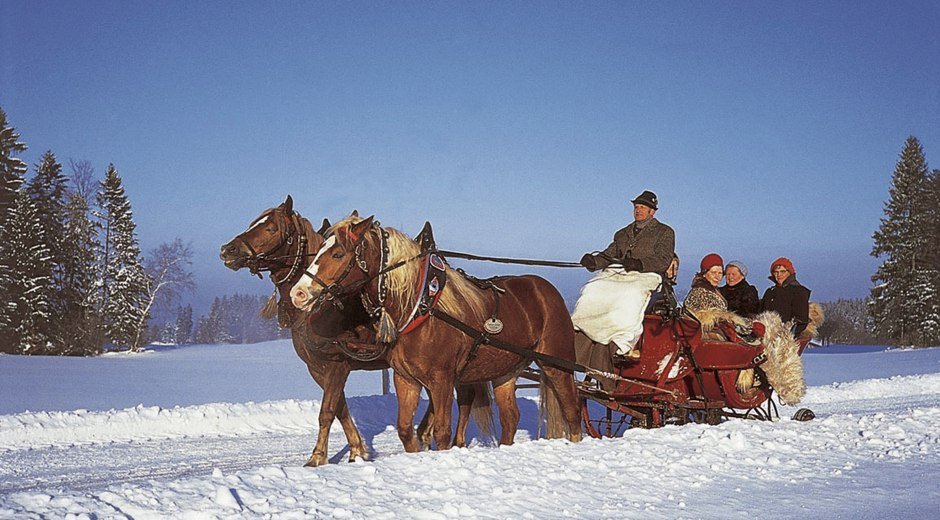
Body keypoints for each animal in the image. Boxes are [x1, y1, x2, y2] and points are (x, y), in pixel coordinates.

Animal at [221, 197, 492, 466]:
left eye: (270, 228)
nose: (227, 250)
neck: (322, 310)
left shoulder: (337, 363)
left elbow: (327, 411)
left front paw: (317, 457)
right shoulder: (318, 368)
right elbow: (340, 408)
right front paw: (356, 451)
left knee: (462, 395)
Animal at [290, 215, 584, 450]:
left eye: (338, 254)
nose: (298, 293)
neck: (420, 308)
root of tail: (546, 288)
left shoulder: (441, 380)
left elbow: (441, 431)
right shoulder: (406, 379)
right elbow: (406, 430)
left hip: (557, 363)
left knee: (572, 411)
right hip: (505, 371)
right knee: (510, 418)